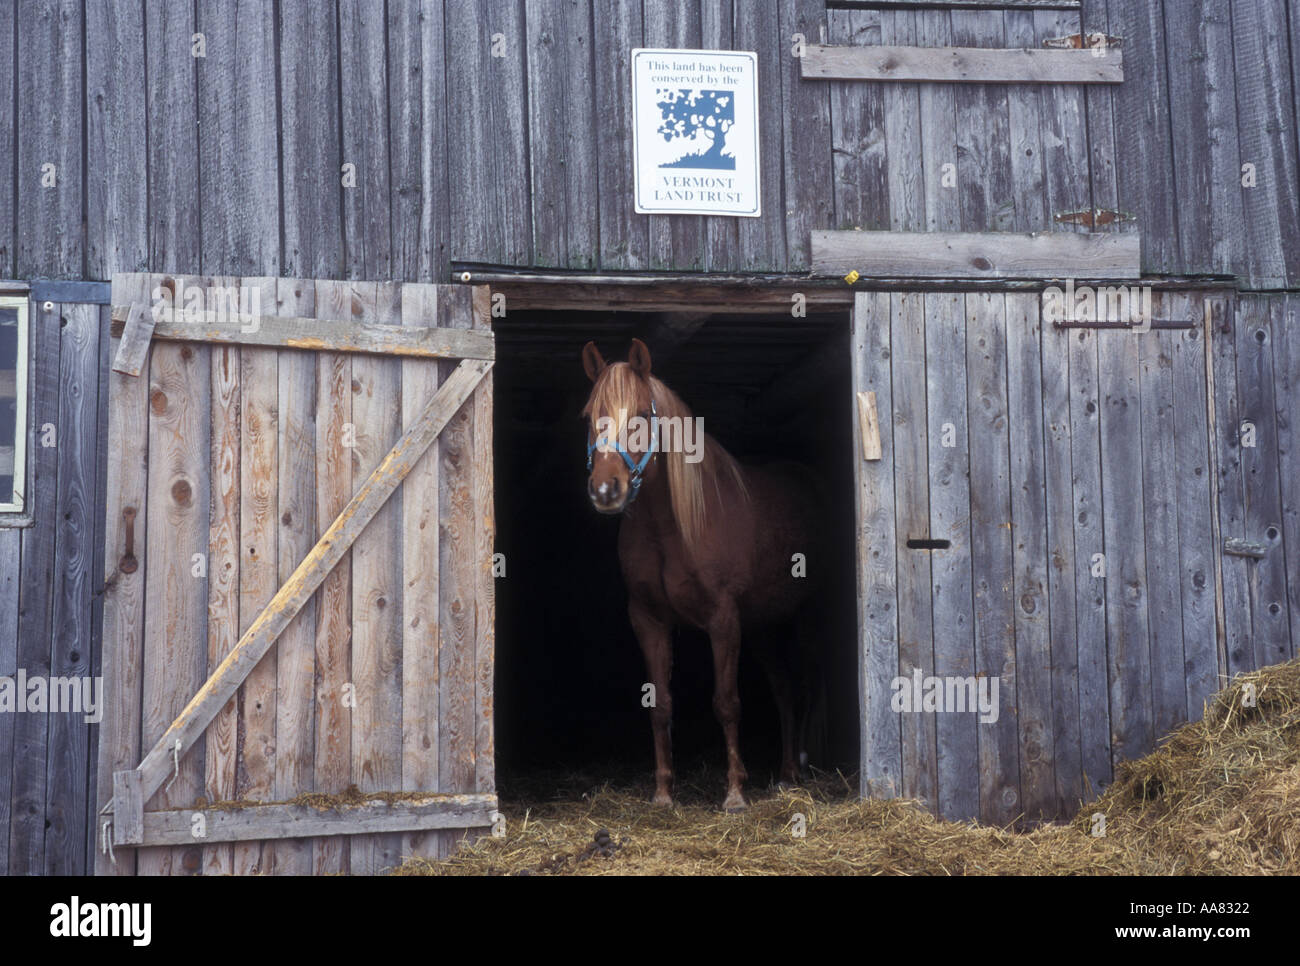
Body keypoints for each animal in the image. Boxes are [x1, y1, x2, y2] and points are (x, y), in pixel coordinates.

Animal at [585, 335, 826, 811]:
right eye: (588, 416)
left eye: (643, 414)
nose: (606, 490)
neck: (671, 526)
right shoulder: (648, 619)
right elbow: (661, 704)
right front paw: (663, 794)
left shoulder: (723, 620)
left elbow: (727, 702)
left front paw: (734, 794)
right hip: (763, 627)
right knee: (785, 690)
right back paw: (786, 773)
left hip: (804, 618)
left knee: (807, 684)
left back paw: (802, 769)